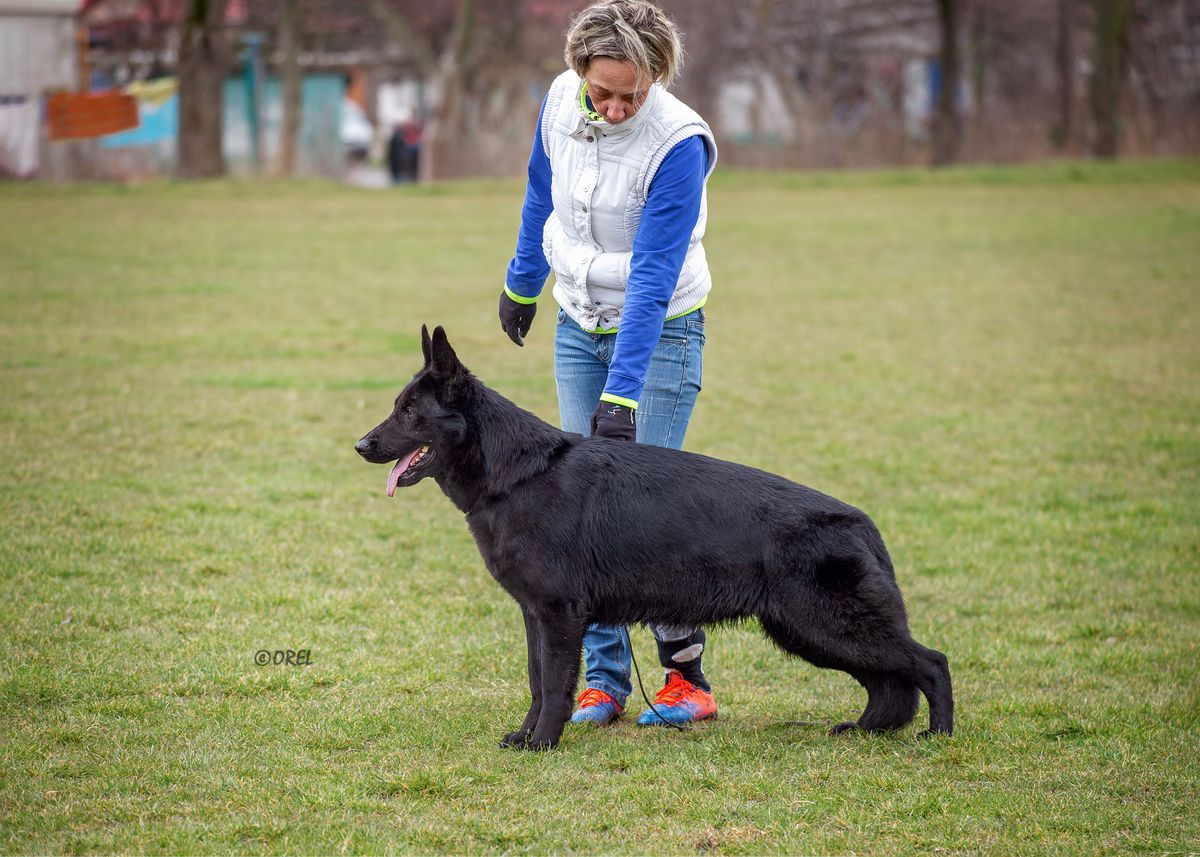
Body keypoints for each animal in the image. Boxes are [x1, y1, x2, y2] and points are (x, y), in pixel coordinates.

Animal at [350, 326, 950, 748]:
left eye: (409, 412)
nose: (360, 445)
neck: (517, 473)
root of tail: (862, 522)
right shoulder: (534, 616)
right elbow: (537, 680)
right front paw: (524, 737)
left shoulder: (559, 616)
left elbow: (553, 686)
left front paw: (542, 743)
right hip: (810, 632)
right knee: (888, 680)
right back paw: (868, 730)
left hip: (825, 625)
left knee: (929, 662)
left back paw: (937, 736)